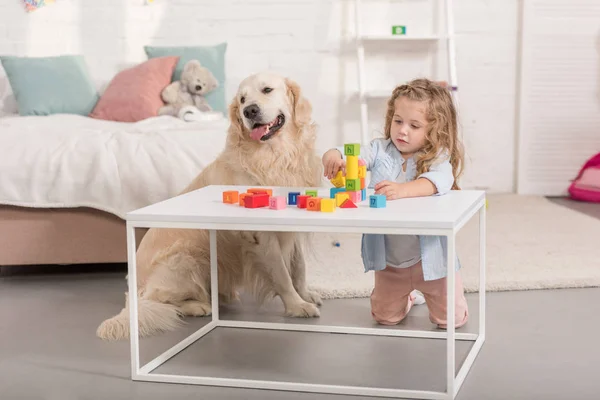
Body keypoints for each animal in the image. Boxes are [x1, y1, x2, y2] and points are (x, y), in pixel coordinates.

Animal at [97, 72, 324, 340]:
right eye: (242, 100)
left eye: (267, 90)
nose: (249, 111)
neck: (276, 156)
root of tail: (133, 291)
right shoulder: (260, 235)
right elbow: (281, 273)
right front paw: (297, 306)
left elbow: (298, 267)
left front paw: (306, 294)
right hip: (187, 257)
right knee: (158, 301)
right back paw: (198, 305)